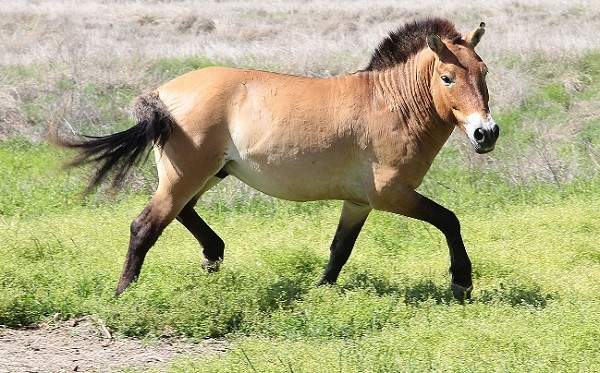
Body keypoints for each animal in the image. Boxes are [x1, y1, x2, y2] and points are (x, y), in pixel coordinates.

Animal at [58, 18, 500, 300]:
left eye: (484, 72)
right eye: (447, 78)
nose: (486, 133)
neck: (391, 103)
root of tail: (162, 95)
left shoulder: (358, 202)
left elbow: (340, 249)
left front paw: (319, 292)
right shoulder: (391, 194)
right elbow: (449, 220)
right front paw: (462, 283)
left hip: (207, 174)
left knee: (183, 212)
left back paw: (213, 255)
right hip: (187, 176)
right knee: (145, 226)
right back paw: (123, 295)